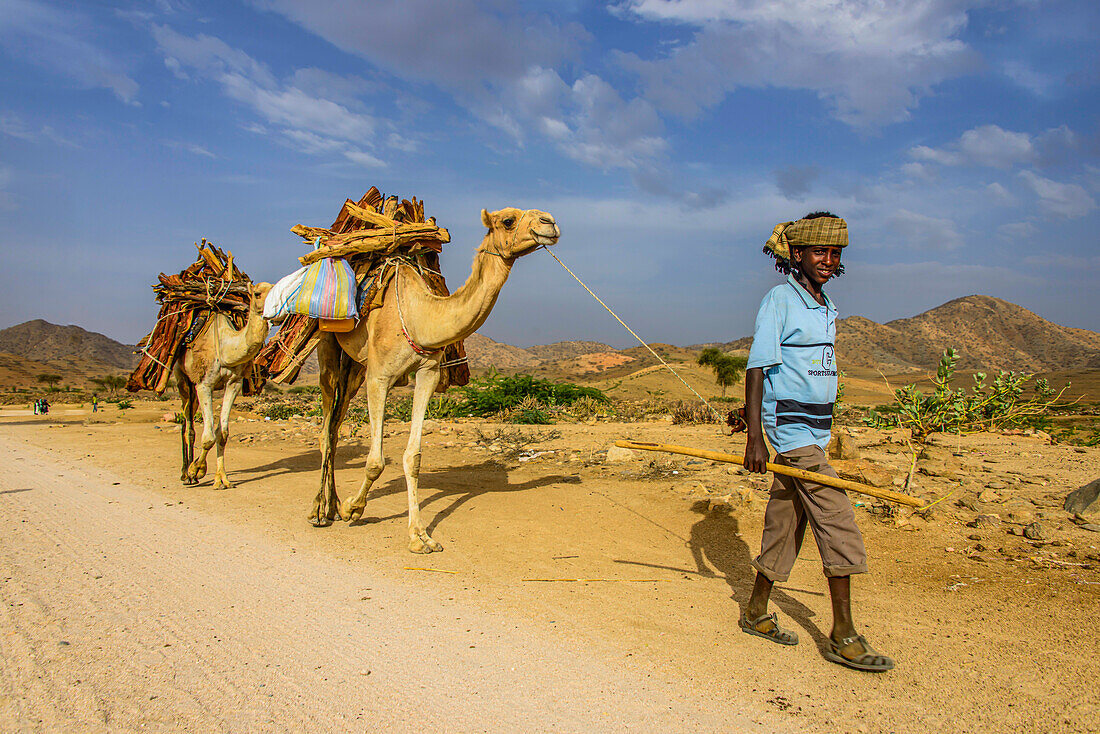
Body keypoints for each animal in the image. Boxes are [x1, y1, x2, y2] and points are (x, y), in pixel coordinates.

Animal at [176, 283, 272, 490]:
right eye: (257, 294)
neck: (225, 348)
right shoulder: (204, 384)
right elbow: (208, 437)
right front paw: (197, 470)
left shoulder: (233, 384)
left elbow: (223, 434)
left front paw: (221, 478)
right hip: (182, 377)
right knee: (187, 423)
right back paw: (186, 474)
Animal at [314, 206, 563, 550]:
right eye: (508, 220)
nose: (549, 222)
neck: (420, 316)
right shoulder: (379, 377)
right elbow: (376, 461)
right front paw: (352, 508)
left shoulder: (427, 373)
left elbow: (413, 457)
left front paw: (419, 535)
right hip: (326, 340)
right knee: (326, 427)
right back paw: (319, 510)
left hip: (355, 364)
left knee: (336, 424)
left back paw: (331, 504)